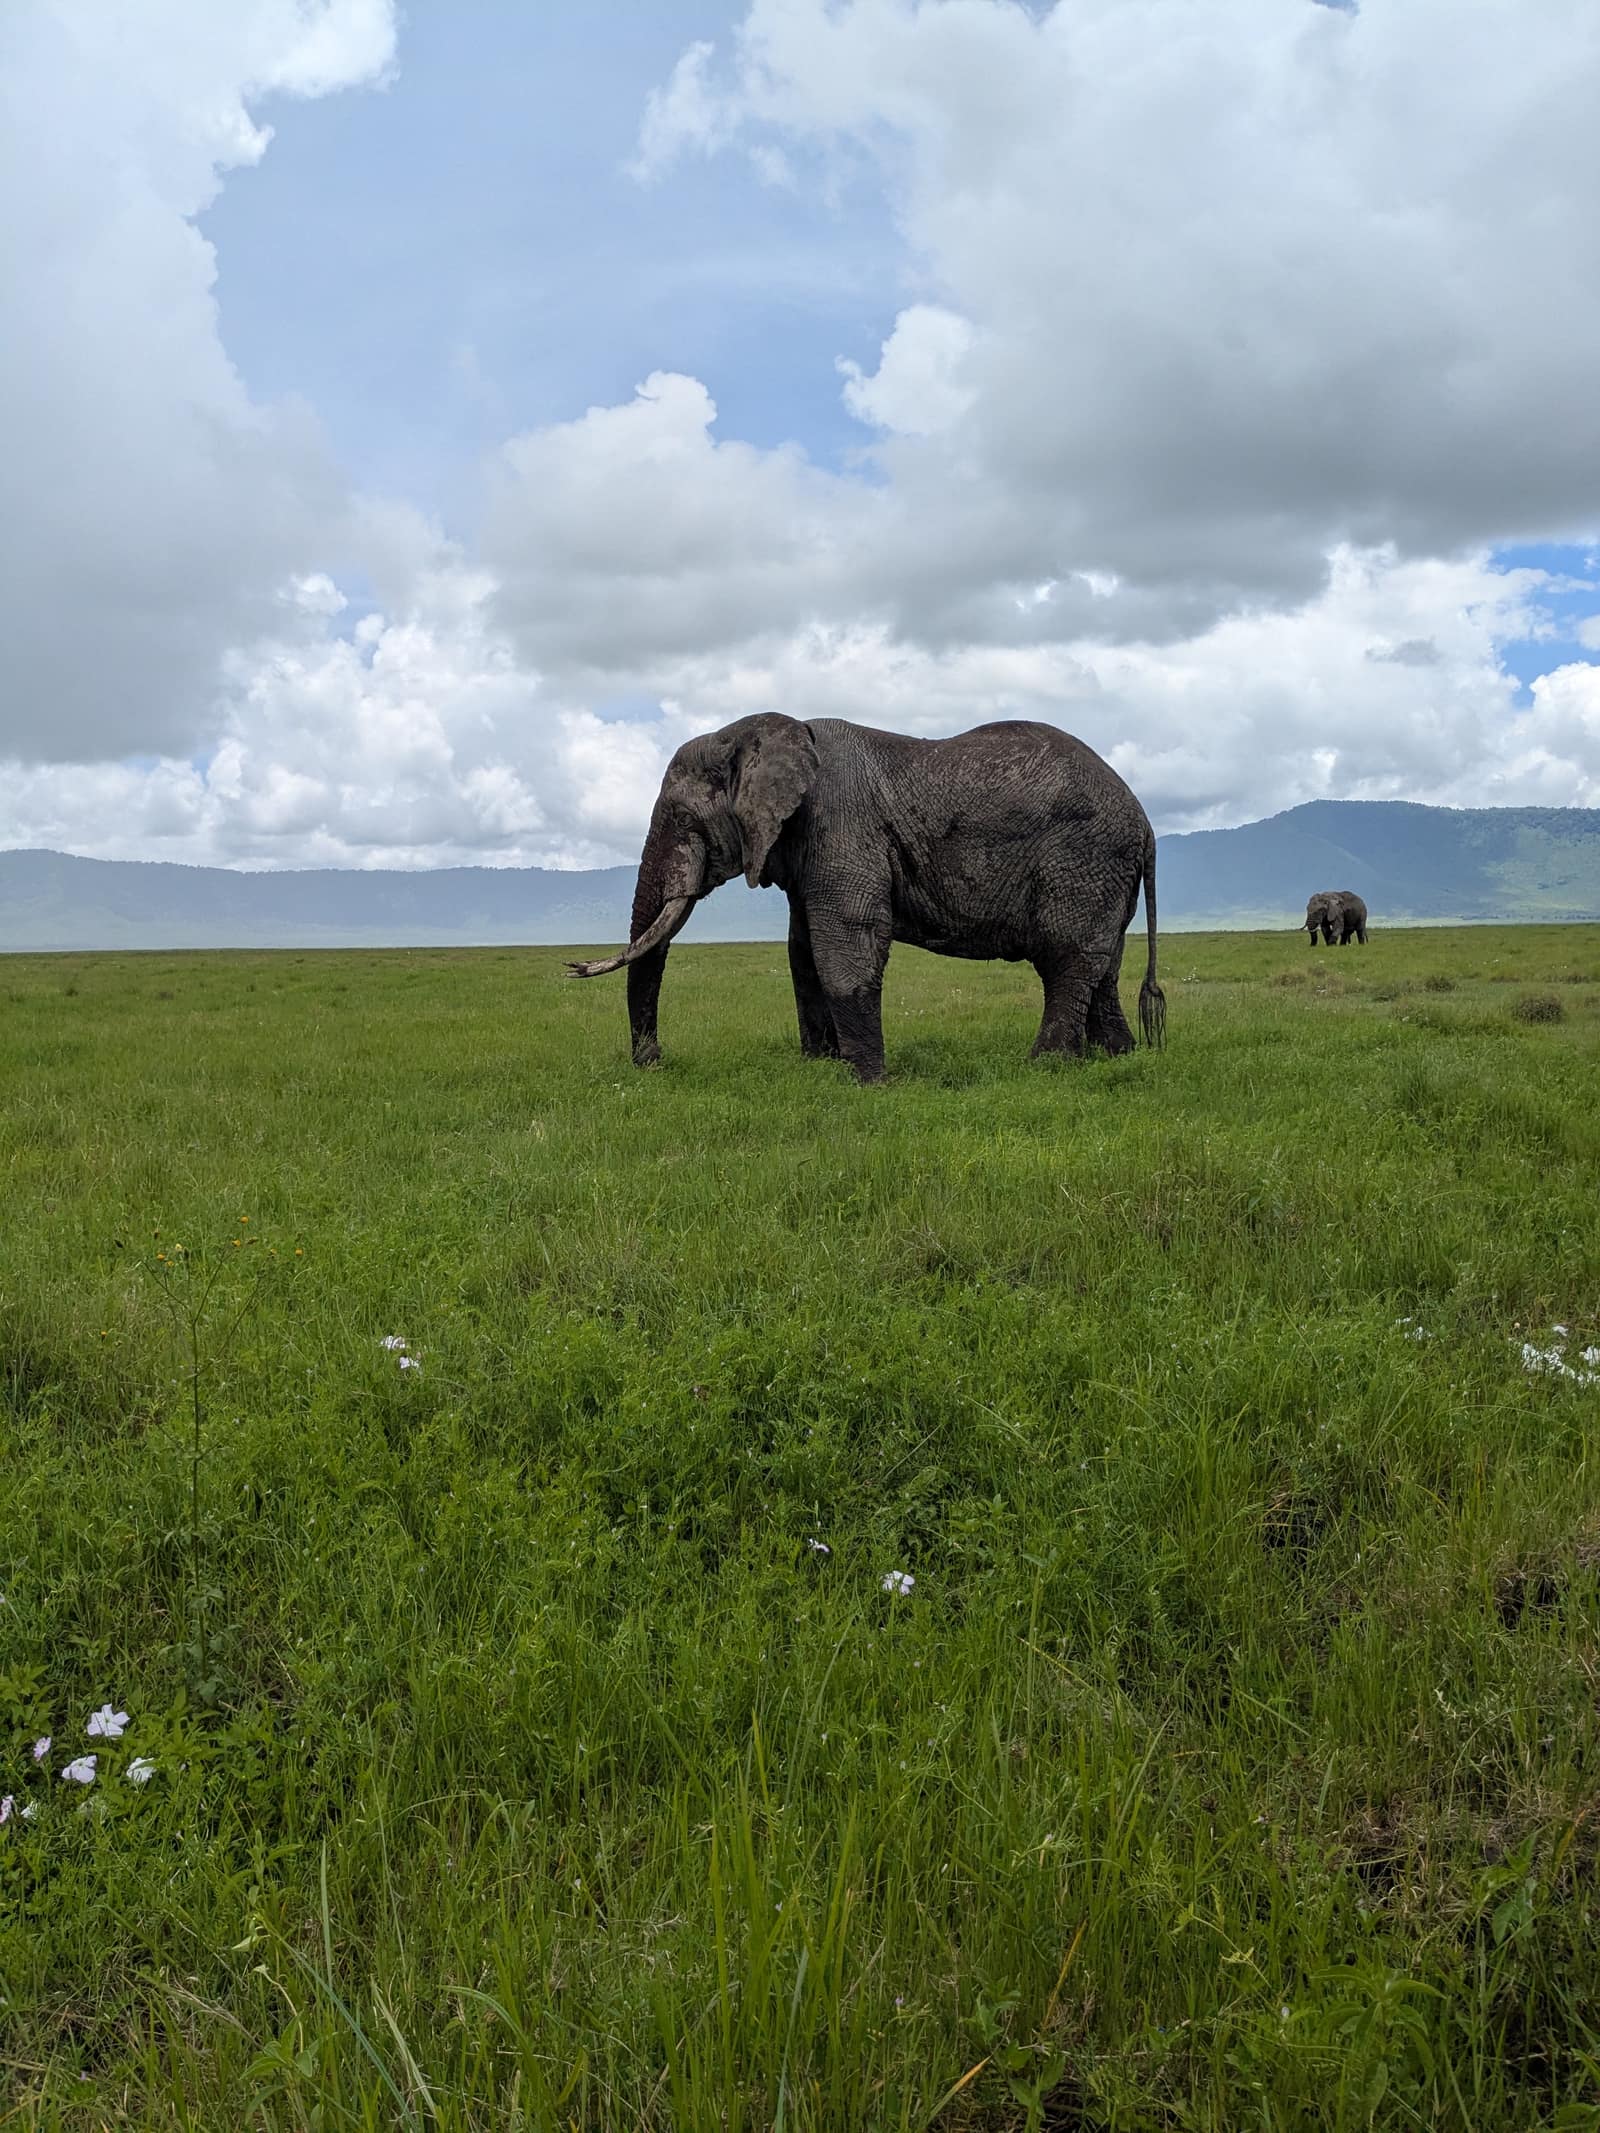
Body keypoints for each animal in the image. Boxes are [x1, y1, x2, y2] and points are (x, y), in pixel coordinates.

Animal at [567, 713, 1164, 1085]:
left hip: (1083, 860)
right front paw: (819, 1071)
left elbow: (844, 946)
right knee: (1102, 969)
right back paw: (1117, 1061)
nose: (654, 1063)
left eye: (683, 819)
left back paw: (1043, 1068)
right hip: (1104, 874)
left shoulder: (841, 826)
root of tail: (1144, 820)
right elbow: (803, 954)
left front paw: (868, 1084)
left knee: (1066, 961)